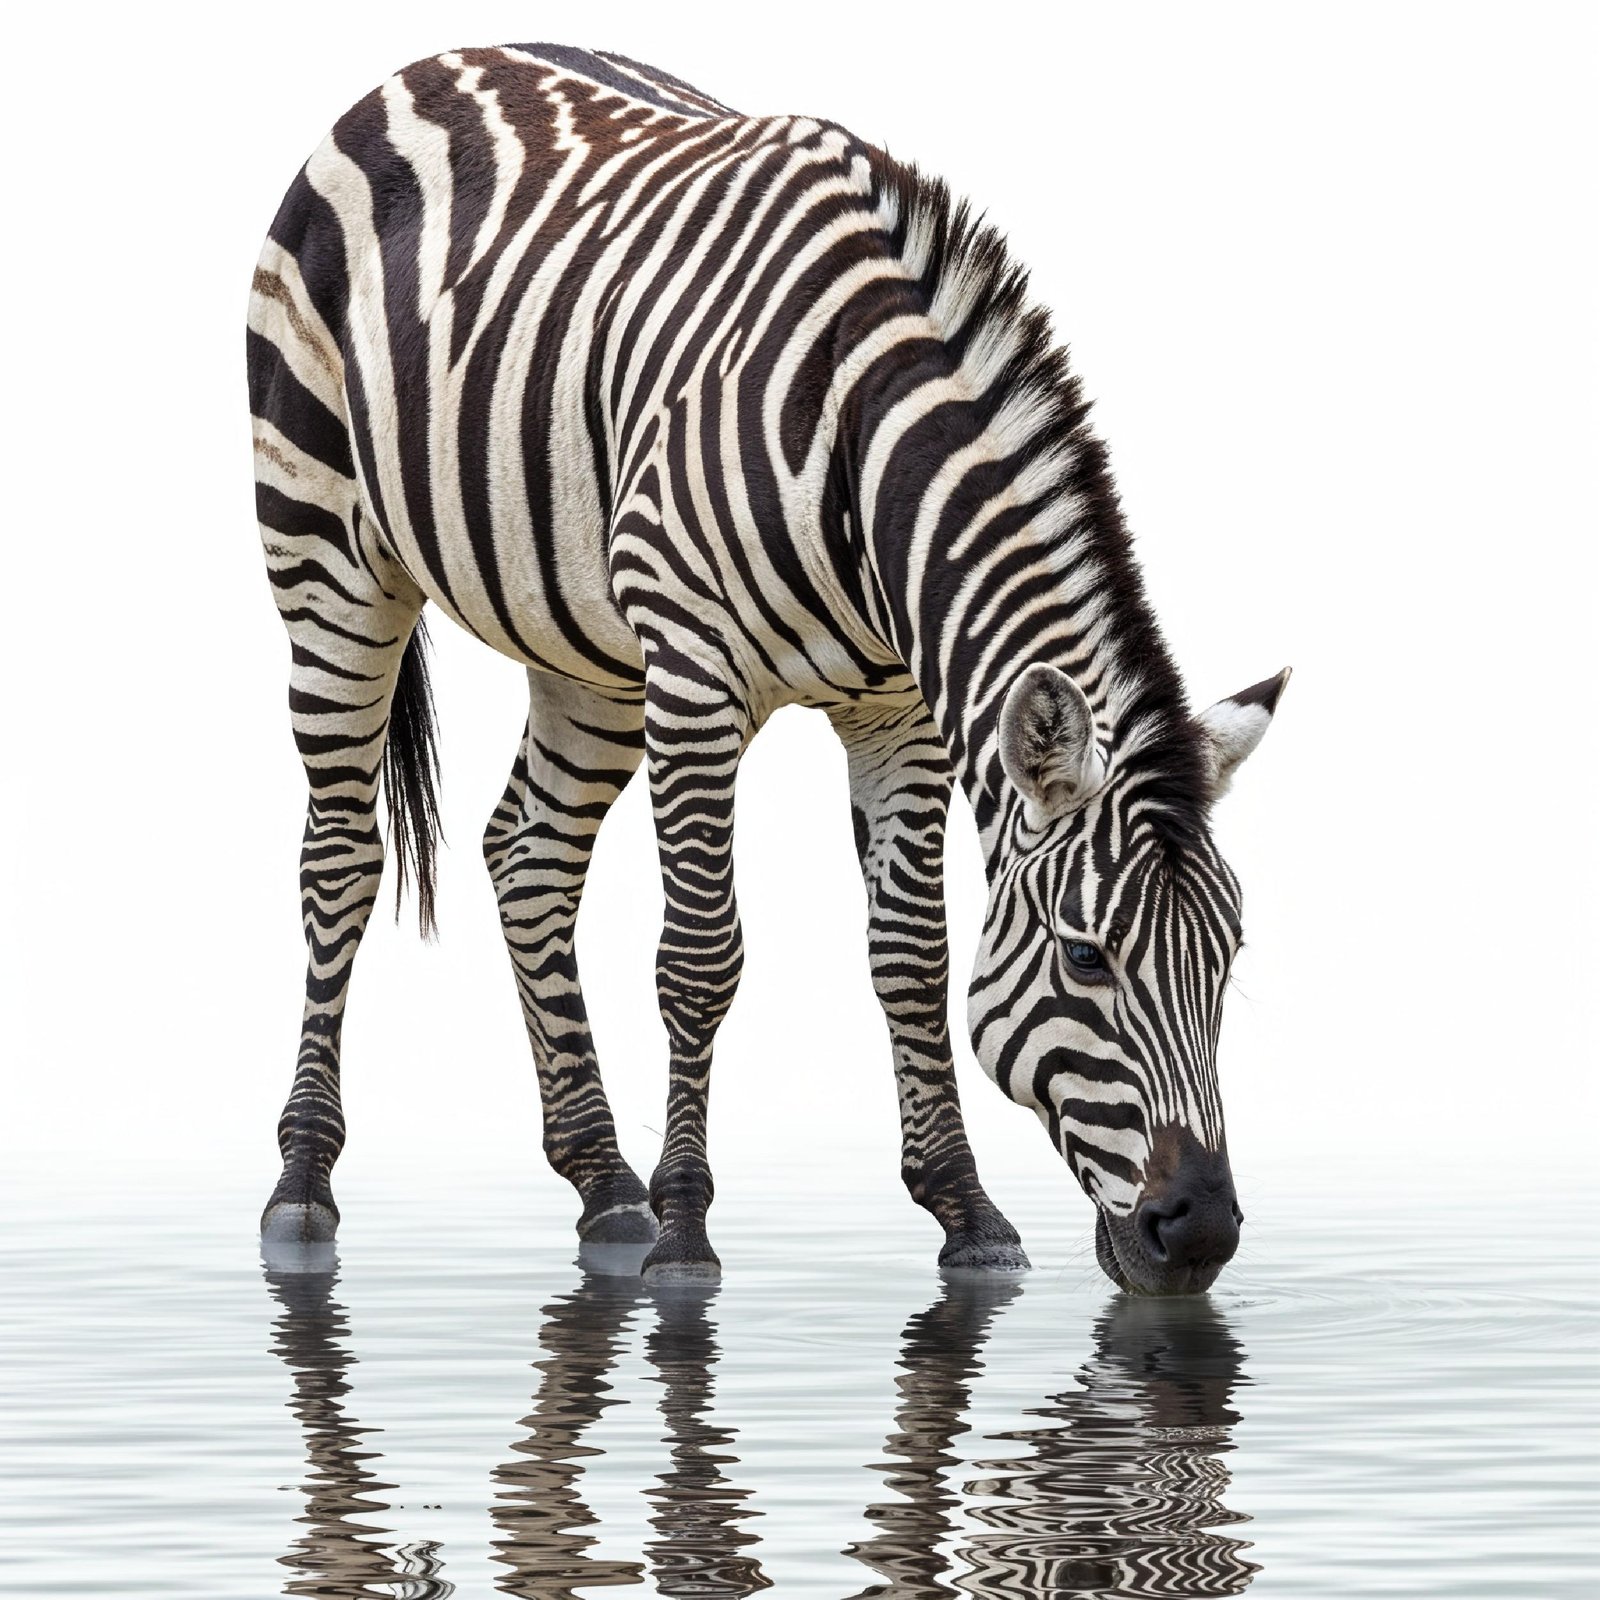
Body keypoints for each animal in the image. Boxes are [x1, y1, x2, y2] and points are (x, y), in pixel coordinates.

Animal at [247, 42, 1288, 1290]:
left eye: (1227, 956)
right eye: (1086, 959)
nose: (1203, 1231)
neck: (862, 438)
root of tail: (435, 59)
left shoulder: (900, 709)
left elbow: (910, 957)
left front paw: (964, 1213)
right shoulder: (697, 674)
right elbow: (701, 957)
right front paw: (688, 1228)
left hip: (590, 647)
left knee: (529, 853)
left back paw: (603, 1183)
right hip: (328, 552)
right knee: (341, 856)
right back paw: (306, 1184)